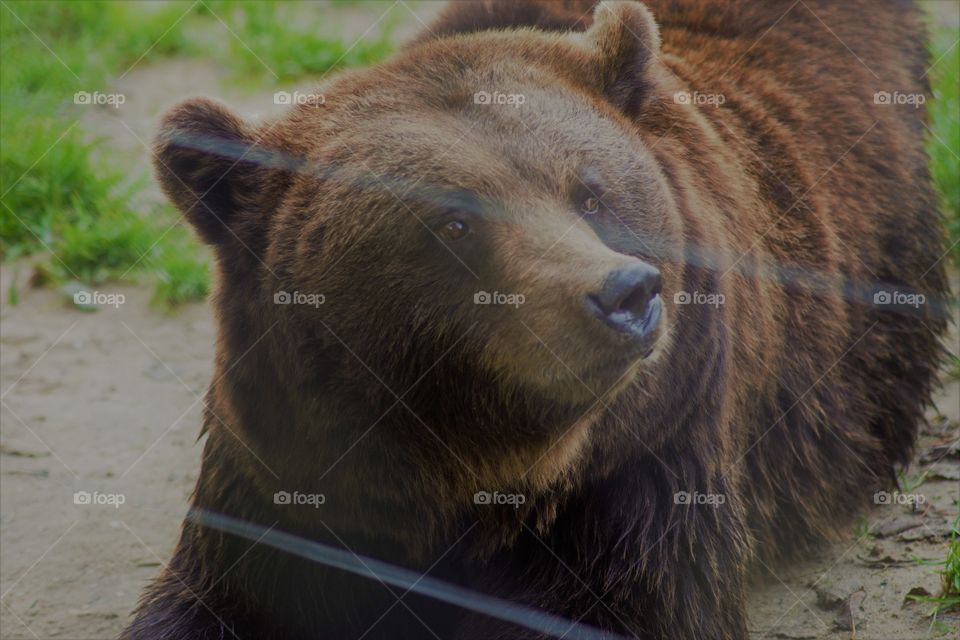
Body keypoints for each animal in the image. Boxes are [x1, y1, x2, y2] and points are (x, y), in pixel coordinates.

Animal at [122, 1, 949, 639]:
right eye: (454, 223)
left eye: (590, 192)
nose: (625, 294)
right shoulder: (291, 472)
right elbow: (217, 602)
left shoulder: (640, 476)